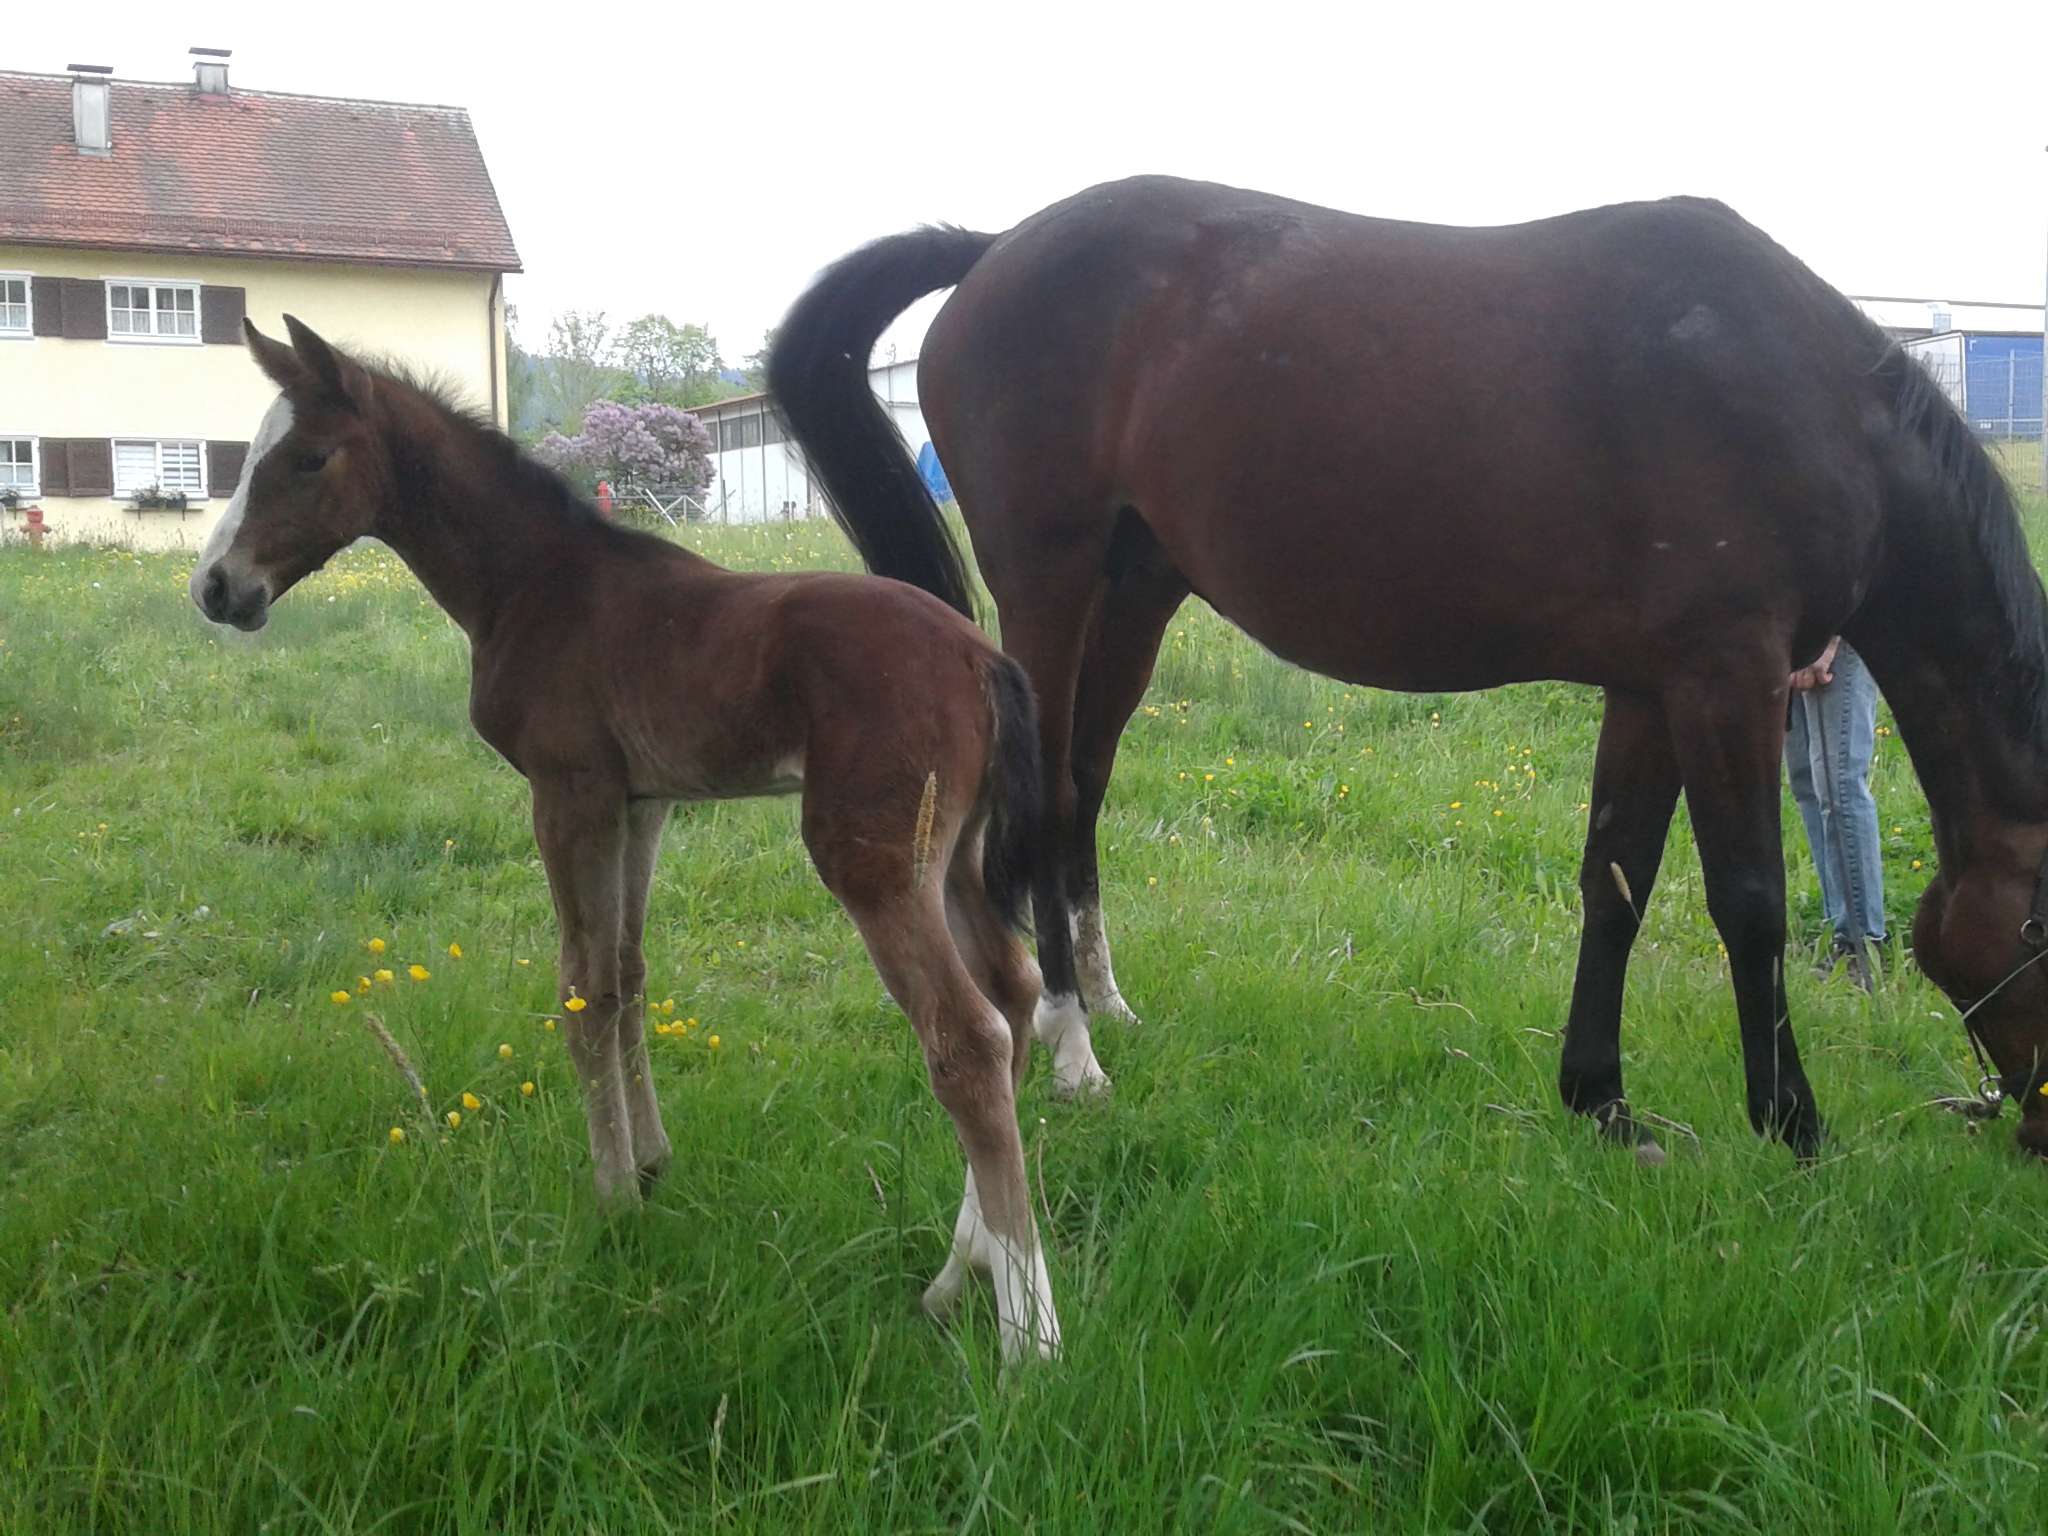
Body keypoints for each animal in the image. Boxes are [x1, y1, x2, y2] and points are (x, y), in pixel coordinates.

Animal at [189, 317, 1065, 1362]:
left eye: (309, 458)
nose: (215, 587)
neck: (535, 584)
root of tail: (982, 657)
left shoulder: (570, 795)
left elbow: (583, 991)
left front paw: (610, 1198)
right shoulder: (644, 804)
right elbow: (631, 974)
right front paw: (650, 1165)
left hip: (875, 860)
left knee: (966, 1038)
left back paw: (1029, 1334)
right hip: (957, 857)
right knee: (1013, 996)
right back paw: (955, 1279)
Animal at [769, 175, 2048, 1160]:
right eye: (2037, 932)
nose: (2030, 1127)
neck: (1802, 395)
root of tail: (994, 251)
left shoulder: (1648, 687)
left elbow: (1614, 886)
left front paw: (1601, 1104)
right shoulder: (1725, 673)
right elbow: (1748, 902)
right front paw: (1792, 1127)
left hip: (1133, 598)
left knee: (1079, 792)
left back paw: (1089, 1006)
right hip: (1050, 586)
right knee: (1039, 807)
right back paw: (1071, 1050)